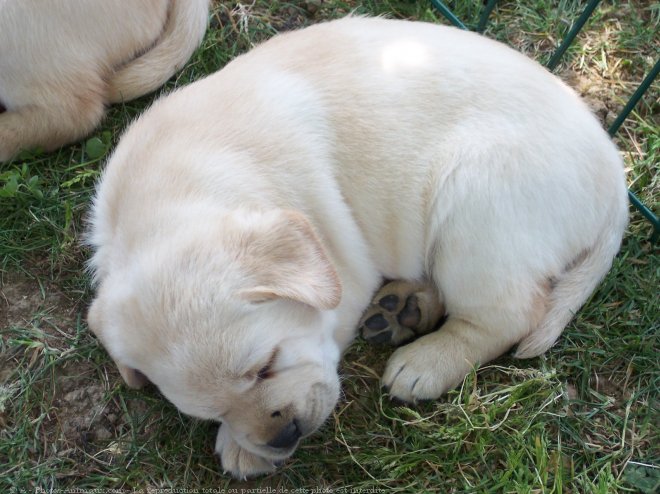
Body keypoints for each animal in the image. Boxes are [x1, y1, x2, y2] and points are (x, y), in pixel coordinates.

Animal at [85, 16, 628, 478]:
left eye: (266, 366)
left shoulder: (343, 273)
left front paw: (242, 449)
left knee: (509, 314)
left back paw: (424, 361)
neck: (174, 193)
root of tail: (616, 175)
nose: (282, 435)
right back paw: (404, 308)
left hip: (474, 207)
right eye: (211, 411)